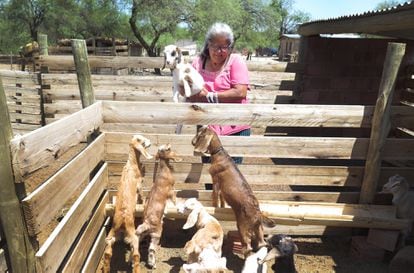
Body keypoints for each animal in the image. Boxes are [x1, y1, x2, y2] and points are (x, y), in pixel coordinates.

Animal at [103, 134, 154, 272]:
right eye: (142, 140)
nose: (150, 142)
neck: (131, 164)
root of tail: (121, 221)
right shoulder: (139, 185)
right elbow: (141, 194)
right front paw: (143, 201)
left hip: (111, 236)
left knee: (107, 253)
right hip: (133, 234)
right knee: (136, 254)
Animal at [191, 126, 274, 255]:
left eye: (199, 135)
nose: (192, 142)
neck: (219, 154)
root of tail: (257, 213)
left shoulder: (215, 181)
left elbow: (215, 196)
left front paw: (214, 207)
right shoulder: (222, 188)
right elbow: (222, 199)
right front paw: (222, 207)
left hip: (242, 226)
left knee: (247, 246)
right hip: (258, 229)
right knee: (261, 243)